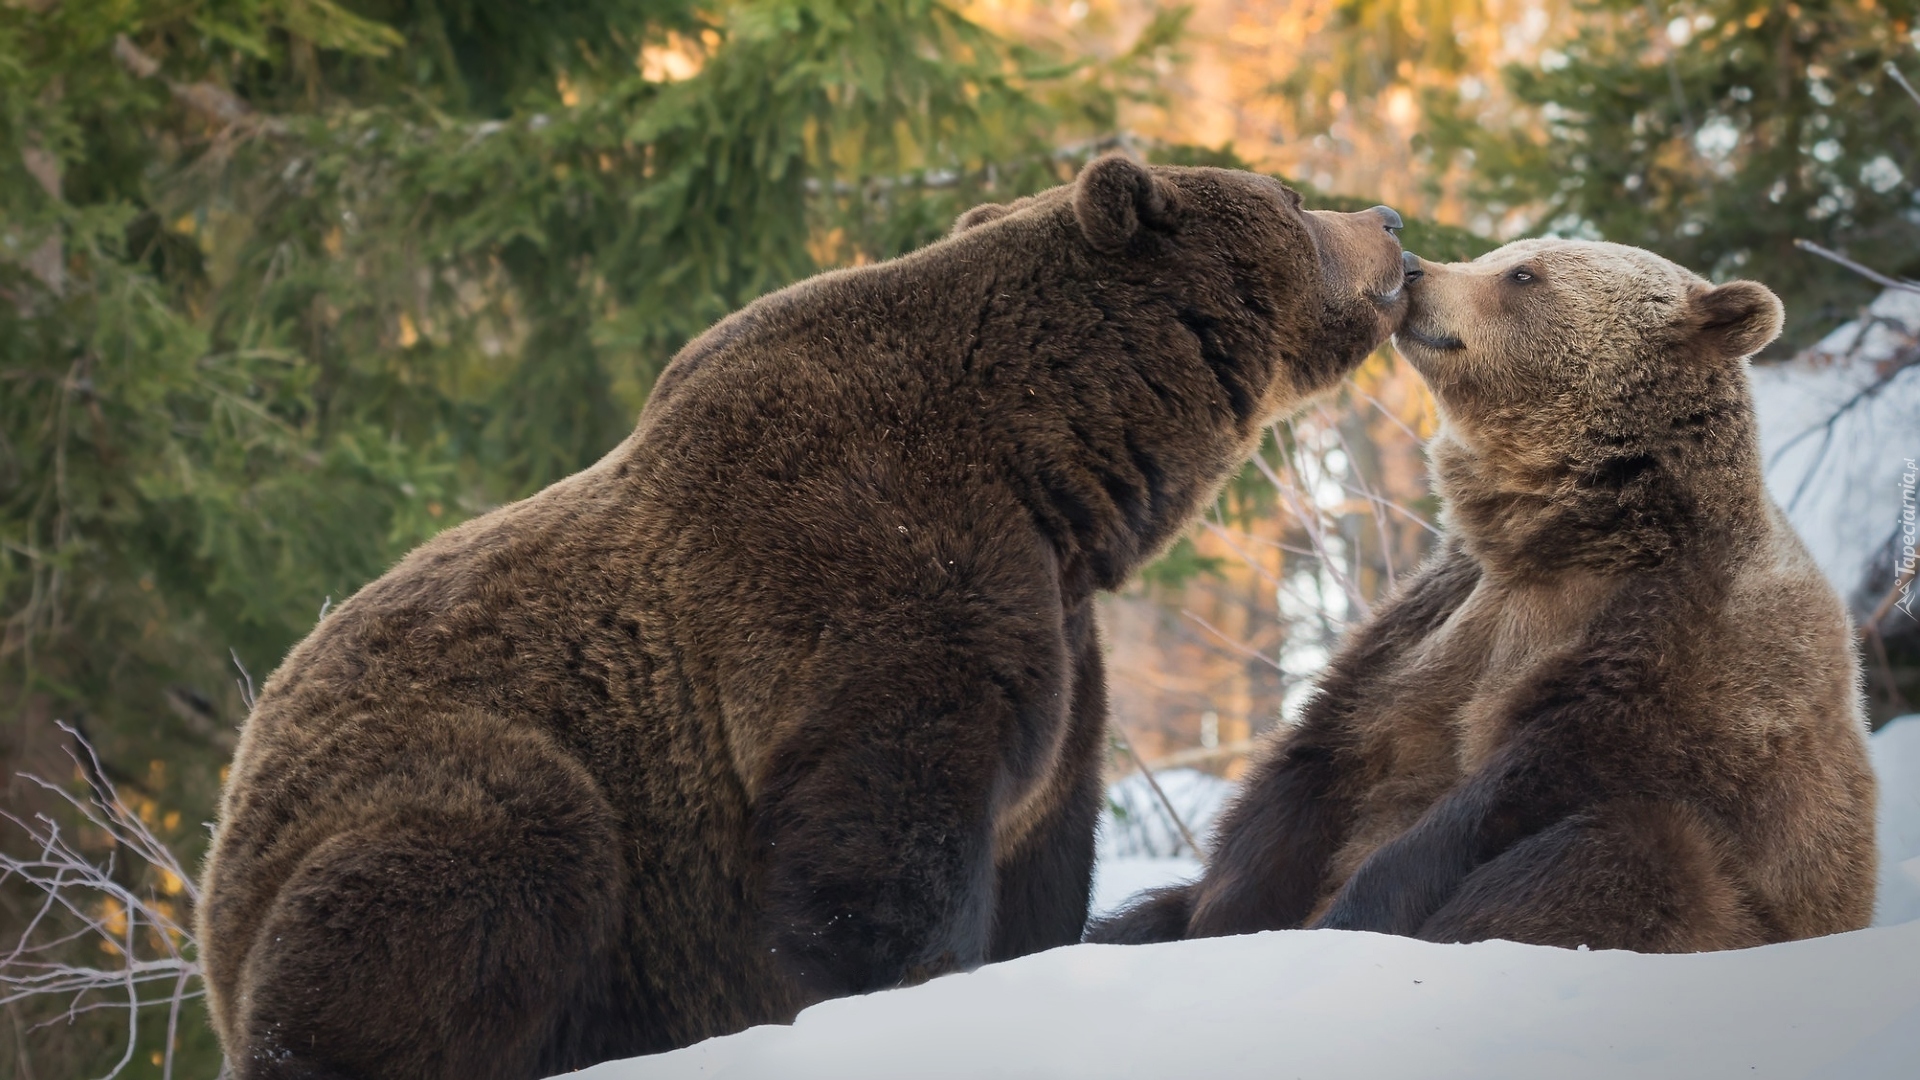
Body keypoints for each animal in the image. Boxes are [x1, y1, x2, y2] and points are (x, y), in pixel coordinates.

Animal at [194, 153, 1413, 1076]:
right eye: (1293, 199)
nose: (1390, 222)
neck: (1053, 469)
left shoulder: (1055, 637)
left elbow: (1043, 845)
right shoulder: (865, 578)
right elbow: (880, 845)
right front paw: (913, 996)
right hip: (438, 795)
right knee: (493, 852)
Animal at [1090, 237, 1881, 949]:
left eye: (1523, 273)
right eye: (1499, 254)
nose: (1414, 268)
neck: (1563, 534)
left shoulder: (1681, 644)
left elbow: (1512, 789)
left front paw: (1350, 916)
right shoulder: (1437, 615)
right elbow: (1317, 761)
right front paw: (1224, 921)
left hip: (1739, 901)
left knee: (1627, 855)